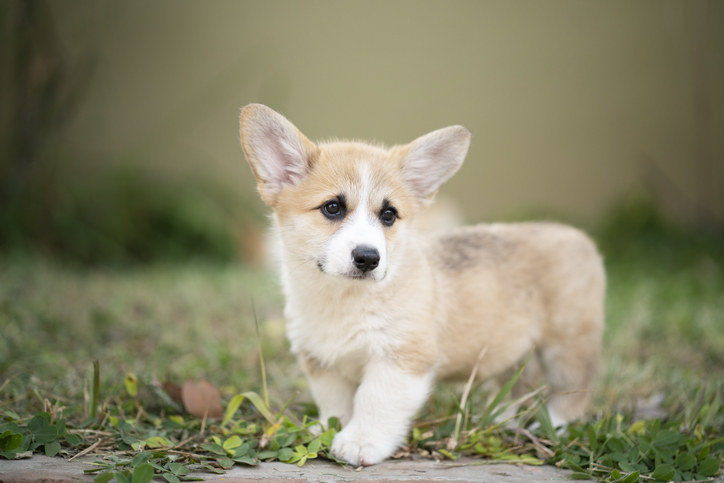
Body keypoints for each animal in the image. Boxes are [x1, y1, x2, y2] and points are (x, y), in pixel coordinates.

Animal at [239, 104, 604, 466]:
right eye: (332, 207)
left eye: (388, 215)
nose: (368, 258)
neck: (343, 298)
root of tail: (578, 236)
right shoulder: (322, 362)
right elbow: (335, 404)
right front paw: (329, 430)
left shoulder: (401, 359)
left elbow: (373, 402)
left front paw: (360, 442)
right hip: (513, 351)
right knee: (517, 385)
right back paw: (503, 421)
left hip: (568, 348)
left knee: (574, 390)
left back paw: (553, 426)